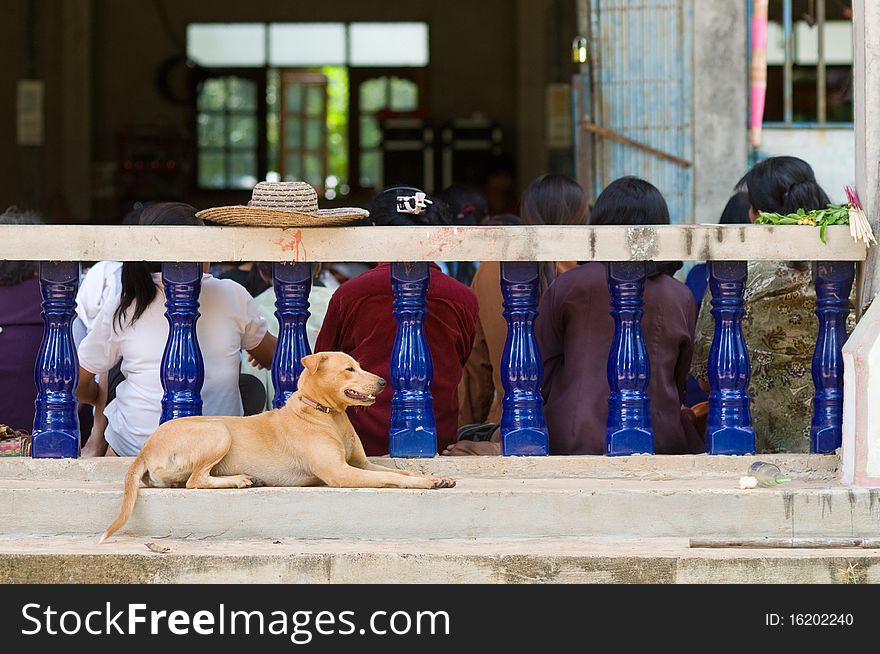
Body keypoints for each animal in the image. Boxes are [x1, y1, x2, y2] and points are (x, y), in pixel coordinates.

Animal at [102, 354, 458, 544]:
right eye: (349, 369)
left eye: (358, 366)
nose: (385, 383)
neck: (326, 413)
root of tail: (145, 449)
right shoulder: (341, 473)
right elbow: (395, 478)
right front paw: (426, 483)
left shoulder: (362, 464)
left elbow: (400, 471)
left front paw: (436, 478)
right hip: (218, 431)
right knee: (194, 481)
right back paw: (239, 480)